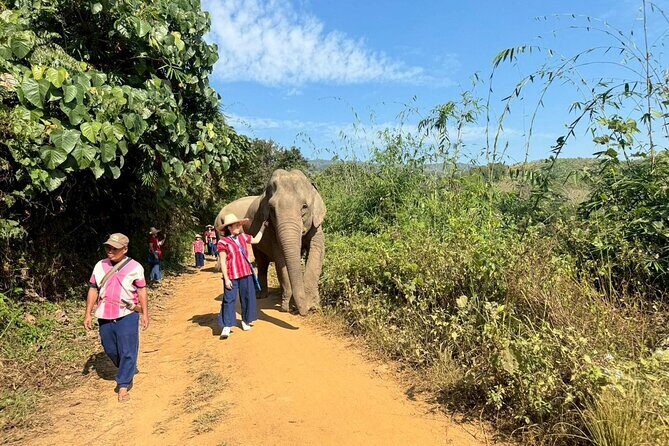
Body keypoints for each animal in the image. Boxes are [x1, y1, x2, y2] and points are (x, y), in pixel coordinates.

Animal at [214, 169, 326, 316]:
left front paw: (313, 306)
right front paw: (287, 306)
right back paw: (262, 295)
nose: (302, 312)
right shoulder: (272, 230)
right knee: (262, 263)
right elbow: (280, 258)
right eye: (272, 209)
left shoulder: (316, 225)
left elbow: (317, 251)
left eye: (304, 207)